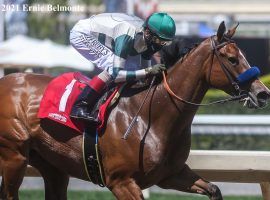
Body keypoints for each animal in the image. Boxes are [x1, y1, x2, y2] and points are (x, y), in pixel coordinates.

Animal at [0, 22, 270, 200]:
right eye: (232, 59)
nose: (262, 93)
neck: (152, 117)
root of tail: (7, 79)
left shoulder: (171, 174)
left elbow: (214, 189)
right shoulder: (121, 182)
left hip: (52, 165)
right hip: (14, 155)